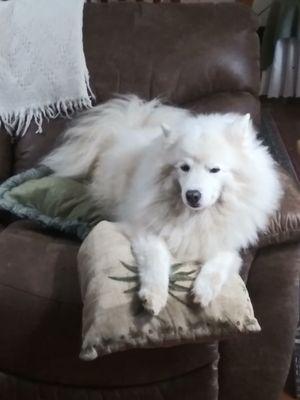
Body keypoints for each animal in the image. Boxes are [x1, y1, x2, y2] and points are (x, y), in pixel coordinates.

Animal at [43, 94, 282, 316]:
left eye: (214, 169)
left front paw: (203, 291)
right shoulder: (145, 231)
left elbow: (219, 265)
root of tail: (128, 127)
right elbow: (156, 261)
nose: (192, 195)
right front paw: (153, 296)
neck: (195, 218)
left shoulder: (226, 244)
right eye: (184, 167)